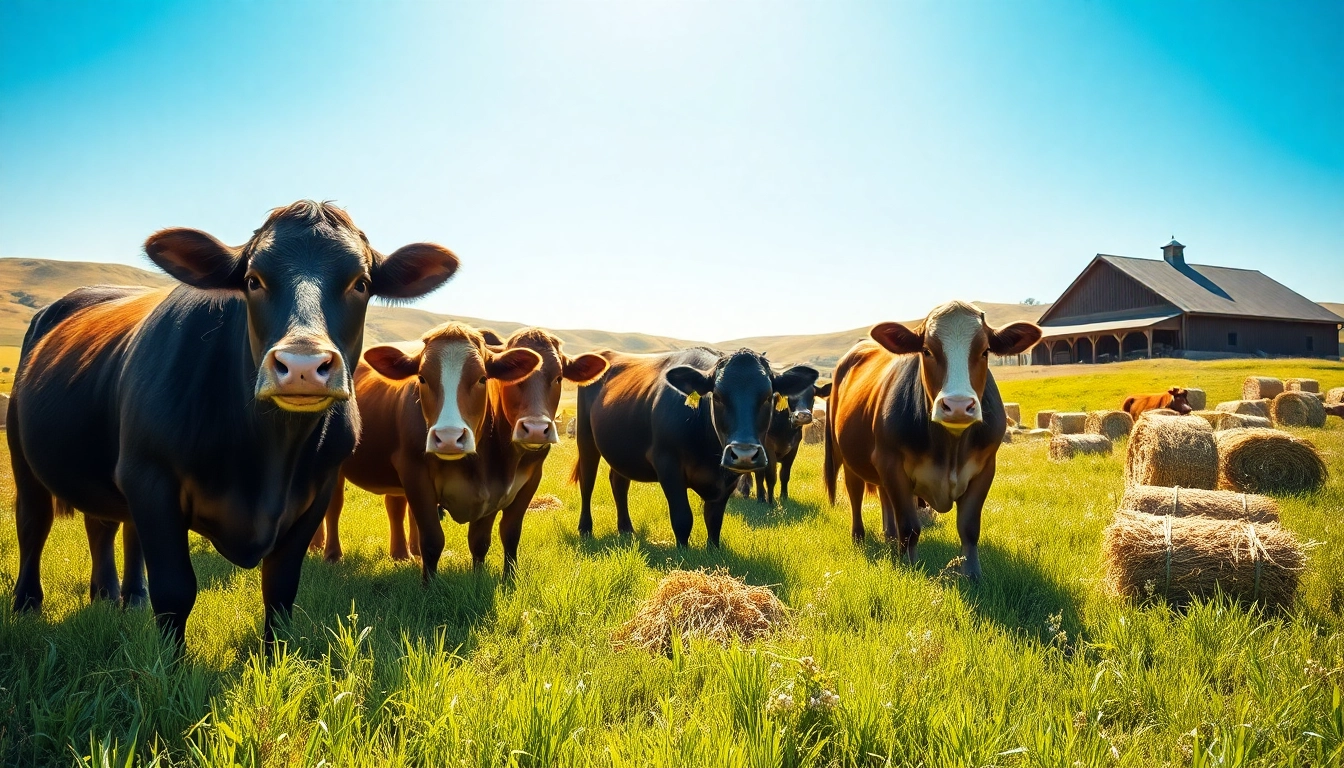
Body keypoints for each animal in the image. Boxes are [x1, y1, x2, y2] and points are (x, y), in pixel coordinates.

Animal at [6, 201, 459, 648]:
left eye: (361, 283)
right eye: (253, 281)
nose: (302, 365)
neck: (267, 457)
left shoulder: (318, 490)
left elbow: (280, 588)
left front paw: (275, 659)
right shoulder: (150, 477)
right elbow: (174, 590)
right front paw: (169, 664)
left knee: (106, 523)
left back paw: (119, 596)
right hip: (25, 456)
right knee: (33, 522)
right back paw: (28, 604)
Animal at [312, 325, 608, 578]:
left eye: (483, 378)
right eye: (422, 378)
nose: (536, 429)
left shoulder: (510, 483)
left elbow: (496, 536)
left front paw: (494, 579)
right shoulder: (415, 471)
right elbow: (433, 538)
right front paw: (430, 587)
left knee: (395, 504)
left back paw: (404, 554)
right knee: (333, 505)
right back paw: (329, 552)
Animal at [573, 347, 818, 547]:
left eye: (768, 396)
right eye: (717, 396)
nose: (744, 454)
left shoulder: (728, 477)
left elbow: (714, 519)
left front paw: (713, 549)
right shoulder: (667, 464)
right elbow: (683, 517)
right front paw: (683, 552)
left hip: (623, 452)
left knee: (619, 483)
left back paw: (626, 529)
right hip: (585, 440)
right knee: (587, 482)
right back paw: (585, 529)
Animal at [824, 301, 1041, 580]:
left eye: (985, 351)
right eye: (927, 350)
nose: (958, 406)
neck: (950, 446)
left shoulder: (985, 467)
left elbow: (969, 527)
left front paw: (972, 574)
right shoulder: (892, 463)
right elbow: (909, 526)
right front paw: (908, 567)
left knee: (884, 496)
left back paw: (889, 537)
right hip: (850, 457)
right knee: (855, 494)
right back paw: (859, 537)